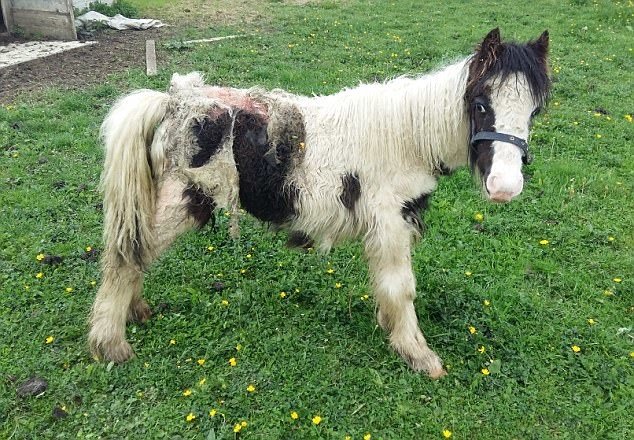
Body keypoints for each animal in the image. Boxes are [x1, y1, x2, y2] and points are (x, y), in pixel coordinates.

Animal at [87, 28, 548, 378]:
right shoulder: (391, 220)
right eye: (480, 104)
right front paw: (419, 355)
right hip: (182, 201)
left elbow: (386, 284)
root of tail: (172, 102)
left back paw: (136, 312)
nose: (505, 187)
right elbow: (402, 287)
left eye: (534, 111)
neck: (407, 137)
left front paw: (390, 327)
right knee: (123, 257)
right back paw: (111, 344)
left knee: (135, 251)